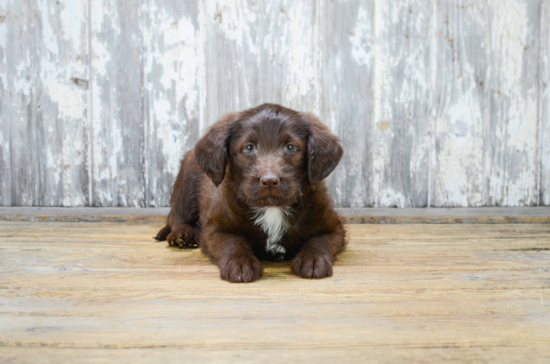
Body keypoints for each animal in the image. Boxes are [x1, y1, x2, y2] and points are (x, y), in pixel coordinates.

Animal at [155, 104, 344, 282]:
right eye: (249, 147)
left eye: (290, 147)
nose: (269, 181)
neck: (272, 208)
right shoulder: (214, 229)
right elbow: (233, 242)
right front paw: (240, 264)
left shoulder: (333, 227)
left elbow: (318, 240)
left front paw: (313, 260)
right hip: (186, 182)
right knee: (177, 216)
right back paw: (183, 235)